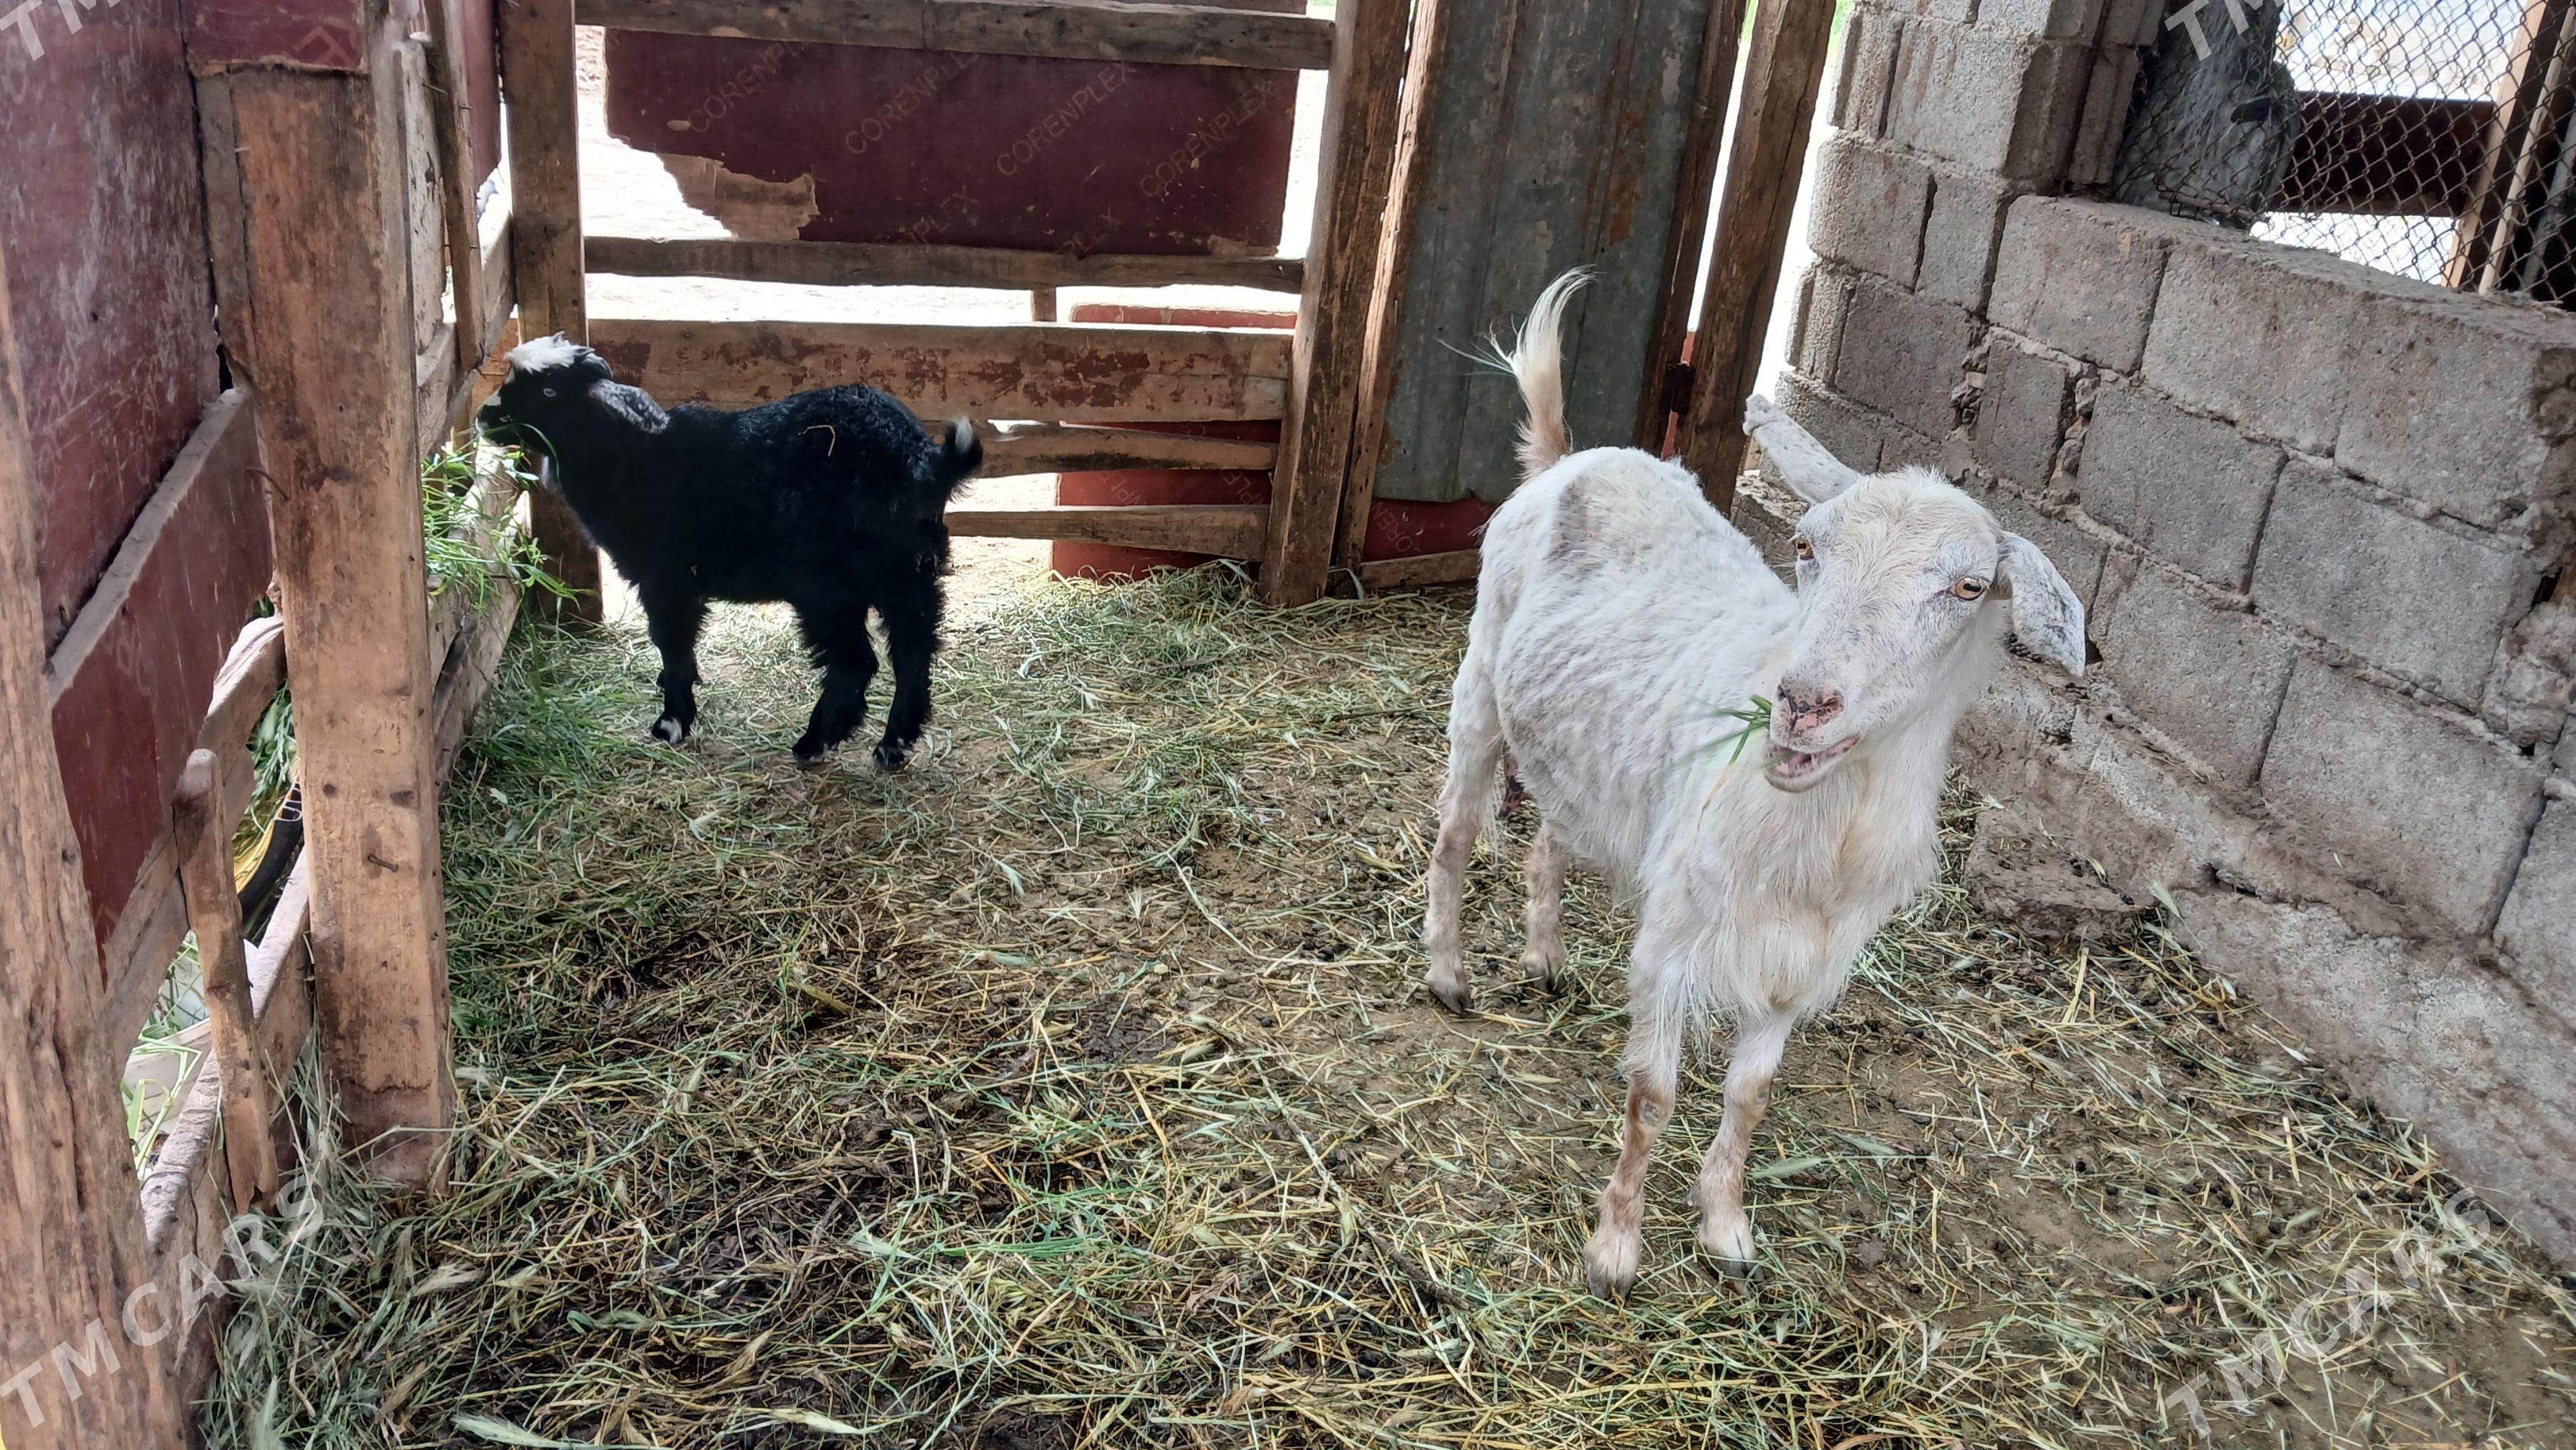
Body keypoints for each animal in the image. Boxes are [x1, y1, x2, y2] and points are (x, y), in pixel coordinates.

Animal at [476, 335, 981, 769]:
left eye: (548, 390)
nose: (483, 415)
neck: (633, 454)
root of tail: (926, 462)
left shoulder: (667, 577)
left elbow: (672, 642)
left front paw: (672, 721)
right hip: (911, 575)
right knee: (913, 653)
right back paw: (893, 744)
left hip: (829, 586)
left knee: (855, 662)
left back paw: (815, 741)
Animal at [1420, 273, 2087, 1297]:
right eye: (1807, 546)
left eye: (1970, 588)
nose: (1803, 702)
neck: (1821, 832)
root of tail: (1573, 458)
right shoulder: (1675, 935)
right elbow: (1652, 1094)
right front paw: (1614, 1251)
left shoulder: (1802, 960)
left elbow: (1750, 1094)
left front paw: (1726, 1228)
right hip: (1480, 678)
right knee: (1456, 830)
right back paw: (1448, 975)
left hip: (1581, 741)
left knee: (1553, 832)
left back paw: (1544, 955)